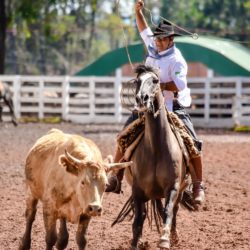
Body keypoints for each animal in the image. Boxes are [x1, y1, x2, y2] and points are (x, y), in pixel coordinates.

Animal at [112, 65, 192, 249]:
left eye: (155, 80)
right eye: (138, 81)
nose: (142, 98)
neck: (156, 148)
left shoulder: (173, 187)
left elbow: (168, 211)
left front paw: (164, 240)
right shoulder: (137, 190)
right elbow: (138, 219)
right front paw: (135, 242)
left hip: (179, 190)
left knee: (173, 210)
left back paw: (174, 236)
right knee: (143, 213)